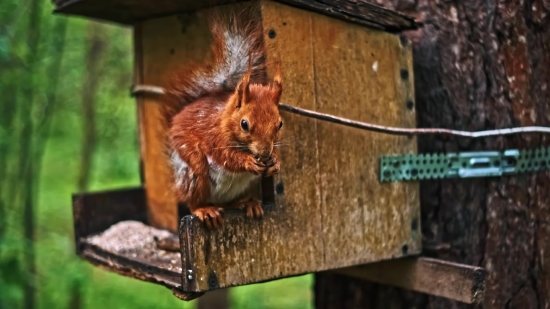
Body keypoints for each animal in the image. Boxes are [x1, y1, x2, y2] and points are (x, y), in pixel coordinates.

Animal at [163, 7, 284, 229]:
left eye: (279, 124)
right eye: (244, 124)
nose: (264, 153)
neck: (225, 119)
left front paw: (275, 162)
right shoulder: (214, 136)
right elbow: (226, 157)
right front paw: (248, 161)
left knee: (229, 203)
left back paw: (248, 203)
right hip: (194, 171)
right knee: (194, 201)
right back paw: (204, 210)